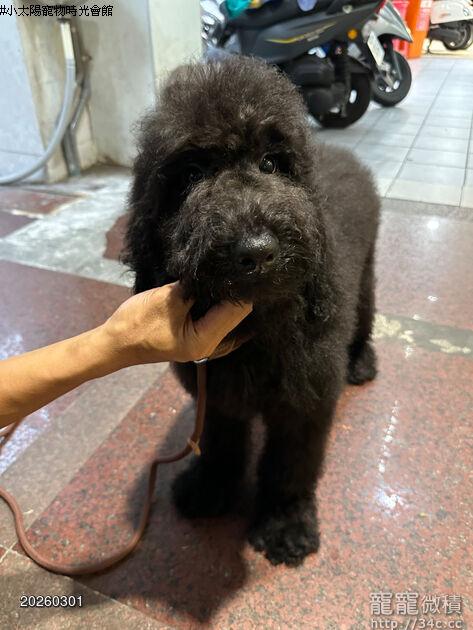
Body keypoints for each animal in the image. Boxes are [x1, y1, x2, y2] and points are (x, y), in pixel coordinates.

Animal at [123, 56, 380, 567]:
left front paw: (285, 524)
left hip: (363, 280)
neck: (259, 330)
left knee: (365, 316)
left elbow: (291, 468)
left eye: (271, 163)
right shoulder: (217, 395)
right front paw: (210, 489)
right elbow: (220, 446)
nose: (257, 251)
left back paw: (361, 361)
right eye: (191, 174)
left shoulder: (306, 402)